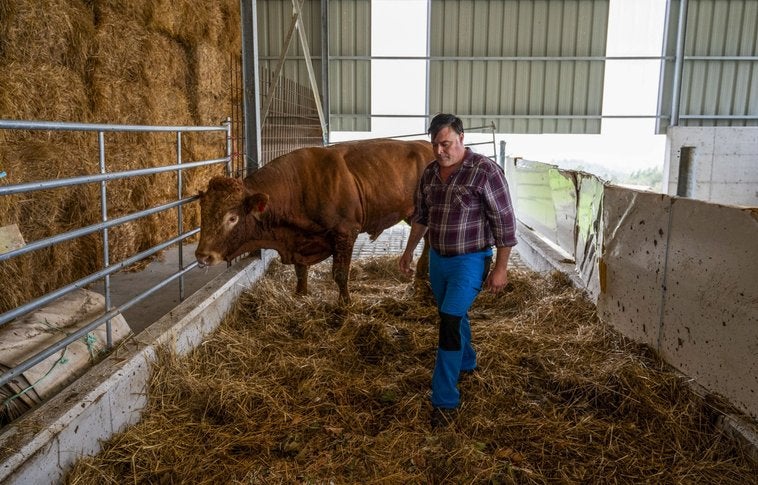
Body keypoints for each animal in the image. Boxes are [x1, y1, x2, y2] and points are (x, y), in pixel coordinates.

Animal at [196, 138, 434, 302]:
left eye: (232, 218)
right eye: (203, 214)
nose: (203, 255)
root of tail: (425, 144)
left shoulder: (346, 232)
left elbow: (340, 274)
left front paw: (345, 303)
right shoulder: (300, 242)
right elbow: (301, 271)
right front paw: (300, 295)